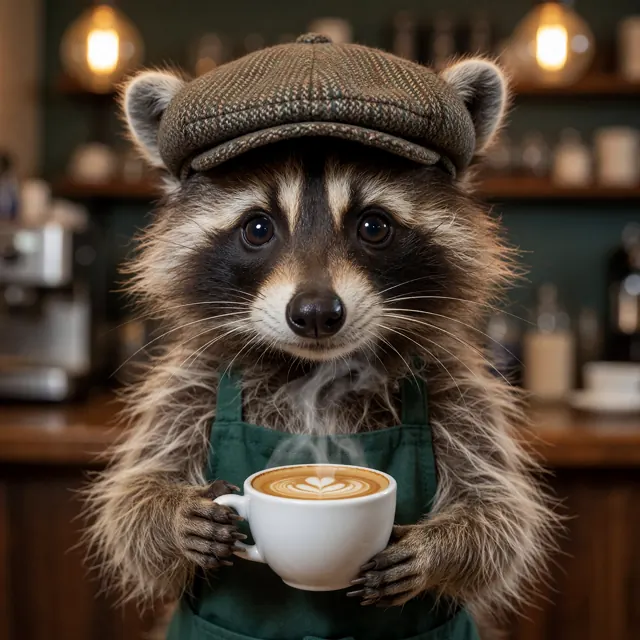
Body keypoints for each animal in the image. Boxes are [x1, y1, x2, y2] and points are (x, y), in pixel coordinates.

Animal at [85, 56, 556, 637]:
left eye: (373, 225)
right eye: (257, 228)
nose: (314, 313)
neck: (315, 370)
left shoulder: (459, 389)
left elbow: (499, 513)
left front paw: (440, 548)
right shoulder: (188, 386)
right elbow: (133, 500)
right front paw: (168, 516)